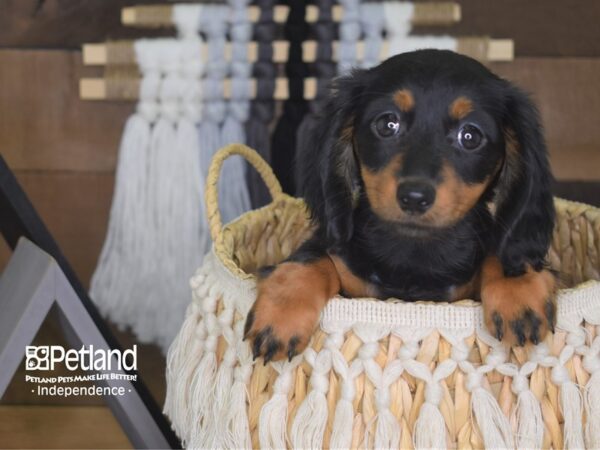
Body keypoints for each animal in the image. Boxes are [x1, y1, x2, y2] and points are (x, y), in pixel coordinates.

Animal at [244, 50, 556, 362]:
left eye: (470, 135)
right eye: (387, 124)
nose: (414, 196)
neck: (414, 253)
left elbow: (502, 253)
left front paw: (517, 291)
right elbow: (310, 258)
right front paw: (282, 313)